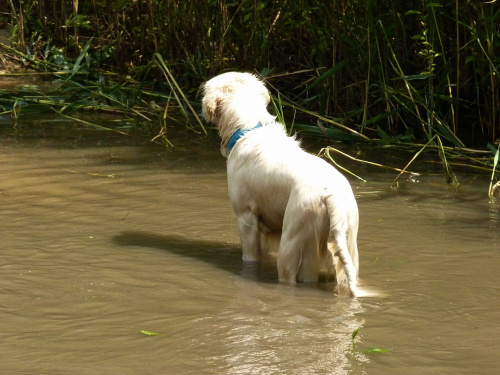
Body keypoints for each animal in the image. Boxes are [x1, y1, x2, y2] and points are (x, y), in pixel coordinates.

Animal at [200, 72, 360, 296]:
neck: (248, 129)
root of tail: (331, 196)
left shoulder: (246, 218)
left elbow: (251, 256)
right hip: (347, 240)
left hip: (295, 241)